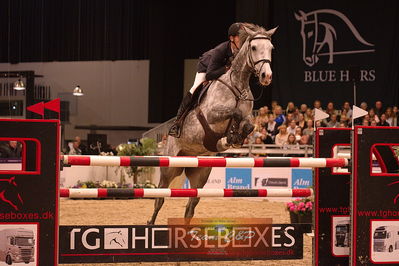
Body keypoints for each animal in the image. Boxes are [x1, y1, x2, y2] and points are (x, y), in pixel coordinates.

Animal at [148, 23, 278, 225]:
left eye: (271, 48)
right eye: (254, 47)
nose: (266, 76)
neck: (237, 86)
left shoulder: (248, 117)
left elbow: (248, 125)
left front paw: (233, 139)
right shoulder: (211, 115)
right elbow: (234, 113)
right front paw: (228, 138)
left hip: (201, 174)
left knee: (190, 207)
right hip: (170, 167)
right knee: (160, 199)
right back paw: (150, 224)